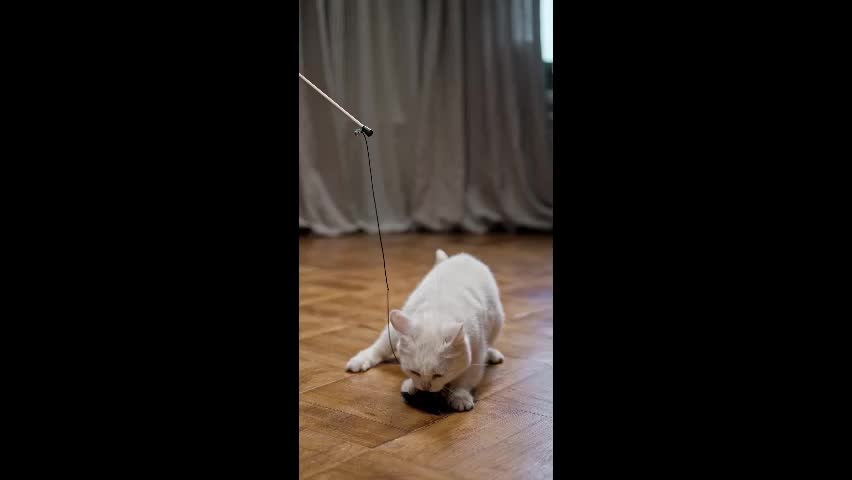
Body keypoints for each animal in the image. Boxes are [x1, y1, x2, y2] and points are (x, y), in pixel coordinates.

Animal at [346, 249, 506, 410]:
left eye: (438, 375)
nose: (425, 387)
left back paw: (491, 354)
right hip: (394, 328)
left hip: (497, 321)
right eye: (414, 372)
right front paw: (411, 386)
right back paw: (360, 360)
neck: (438, 312)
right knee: (380, 346)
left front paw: (460, 396)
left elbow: (466, 379)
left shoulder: (477, 352)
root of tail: (463, 256)